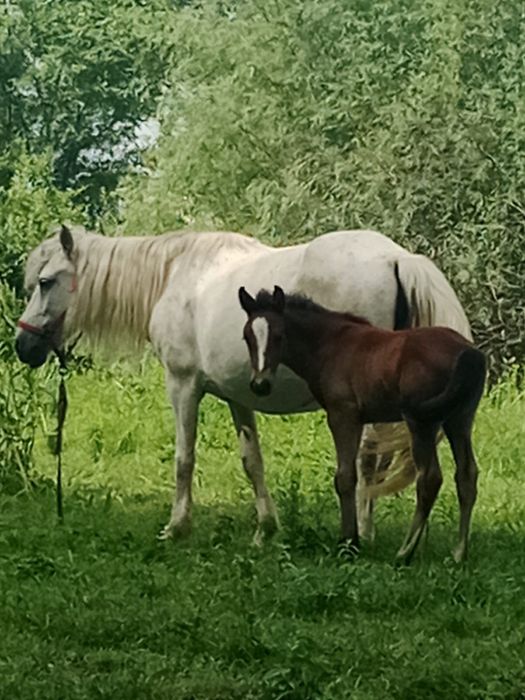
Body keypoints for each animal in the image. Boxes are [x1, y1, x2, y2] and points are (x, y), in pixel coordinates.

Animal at [15, 224, 472, 544]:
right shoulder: (239, 395)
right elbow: (253, 462)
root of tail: (396, 257)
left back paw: (363, 530)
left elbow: (184, 459)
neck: (175, 277)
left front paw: (177, 527)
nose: (23, 345)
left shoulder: (183, 386)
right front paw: (265, 529)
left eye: (46, 282)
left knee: (367, 462)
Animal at [239, 285, 486, 563]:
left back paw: (405, 552)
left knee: (430, 478)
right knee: (467, 475)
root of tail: (470, 353)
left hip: (423, 423)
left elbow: (345, 477)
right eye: (247, 337)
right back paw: (459, 553)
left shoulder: (343, 415)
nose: (260, 384)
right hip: (460, 420)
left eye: (279, 336)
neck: (330, 345)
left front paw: (348, 543)